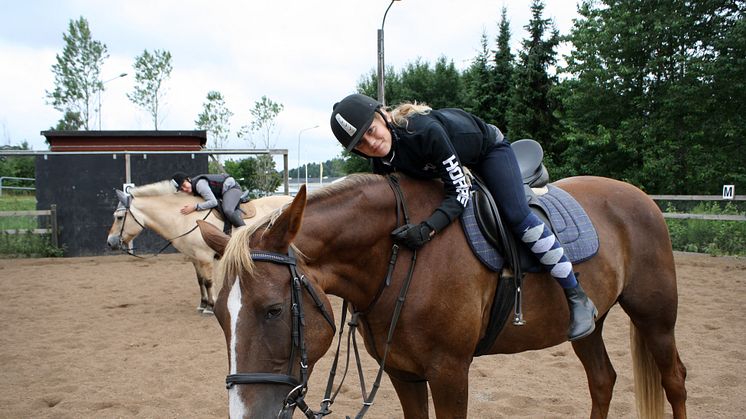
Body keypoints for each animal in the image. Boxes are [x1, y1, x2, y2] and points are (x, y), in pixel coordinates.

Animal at [106, 180, 292, 316]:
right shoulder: (194, 258)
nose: (110, 242)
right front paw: (202, 304)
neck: (184, 217)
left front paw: (210, 306)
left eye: (119, 217)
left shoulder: (205, 258)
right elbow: (200, 280)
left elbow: (209, 281)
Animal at [196, 172, 684, 418]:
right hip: (589, 327)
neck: (401, 256)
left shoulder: (450, 373)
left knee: (674, 379)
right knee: (602, 380)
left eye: (274, 310)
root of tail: (642, 197)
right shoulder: (402, 372)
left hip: (656, 317)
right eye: (219, 315)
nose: (244, 416)